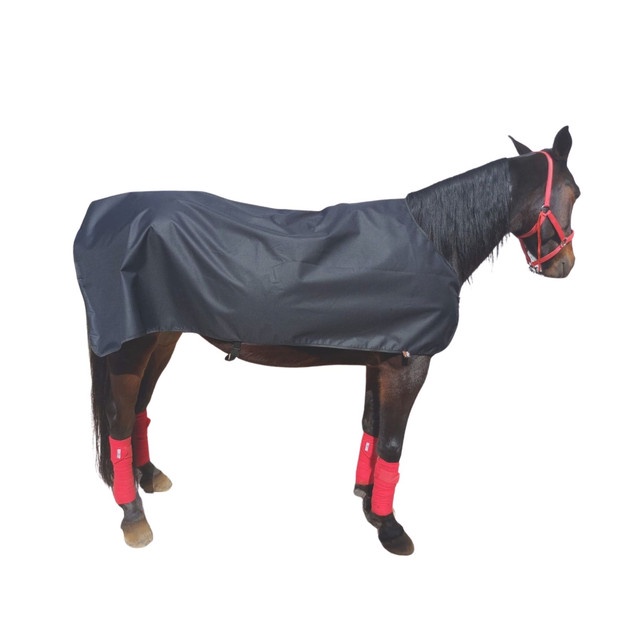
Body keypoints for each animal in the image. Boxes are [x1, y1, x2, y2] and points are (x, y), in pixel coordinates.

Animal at [74, 126, 579, 555]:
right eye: (572, 192)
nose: (563, 264)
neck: (435, 243)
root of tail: (97, 217)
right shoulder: (410, 364)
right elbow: (392, 443)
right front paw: (390, 527)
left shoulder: (381, 360)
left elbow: (371, 428)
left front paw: (367, 502)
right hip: (131, 348)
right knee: (119, 419)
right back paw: (133, 516)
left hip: (162, 336)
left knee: (139, 409)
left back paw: (148, 476)